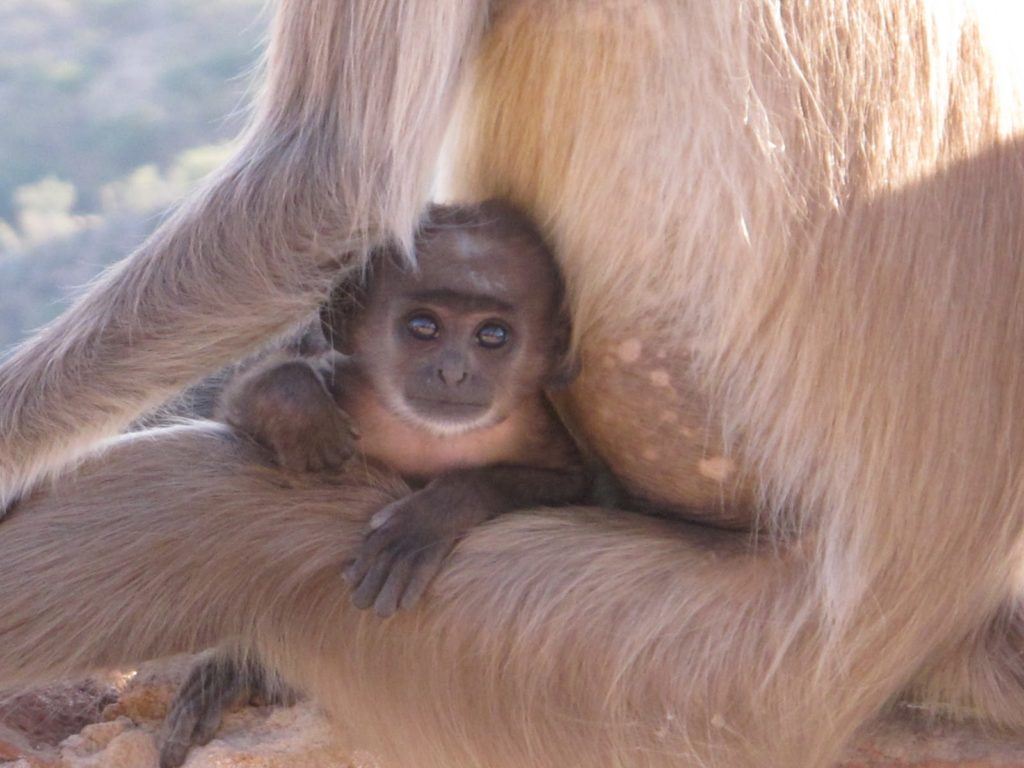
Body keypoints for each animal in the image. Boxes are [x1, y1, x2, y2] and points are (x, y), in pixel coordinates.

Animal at [225, 199, 589, 618]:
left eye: (493, 334)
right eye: (423, 326)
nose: (452, 372)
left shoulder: (534, 424)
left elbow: (573, 484)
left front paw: (428, 520)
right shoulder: (350, 383)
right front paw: (302, 411)